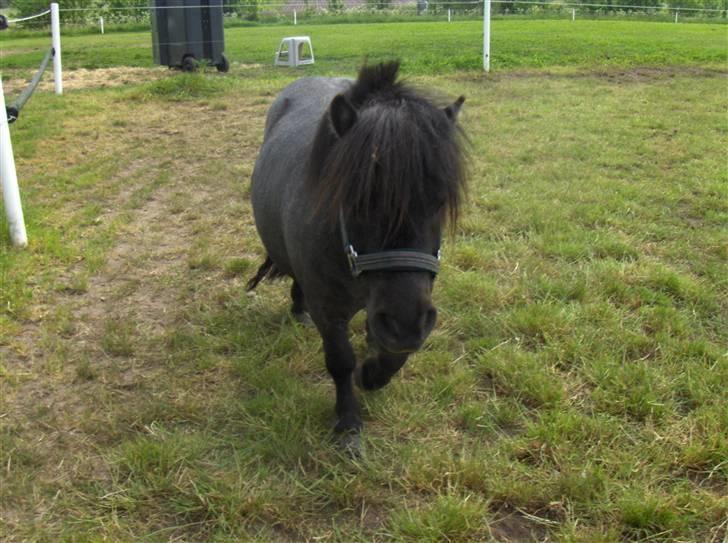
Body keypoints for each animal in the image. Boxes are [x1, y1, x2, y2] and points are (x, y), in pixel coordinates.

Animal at [249, 61, 466, 448]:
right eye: (357, 200)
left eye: (440, 200)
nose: (406, 323)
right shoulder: (330, 310)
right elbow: (341, 361)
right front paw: (348, 422)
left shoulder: (390, 309)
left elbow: (392, 350)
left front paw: (372, 375)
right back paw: (298, 309)